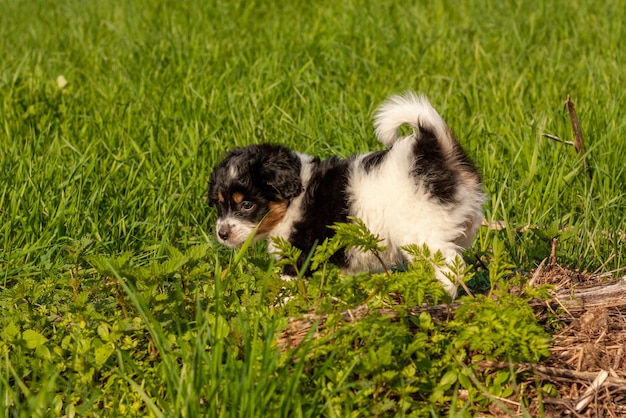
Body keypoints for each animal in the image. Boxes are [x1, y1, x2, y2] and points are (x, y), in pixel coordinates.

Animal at [207, 93, 486, 298]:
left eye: (247, 205)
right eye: (219, 205)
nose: (222, 233)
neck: (294, 195)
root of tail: (433, 149)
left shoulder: (301, 254)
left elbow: (289, 285)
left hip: (422, 232)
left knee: (449, 265)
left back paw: (437, 295)